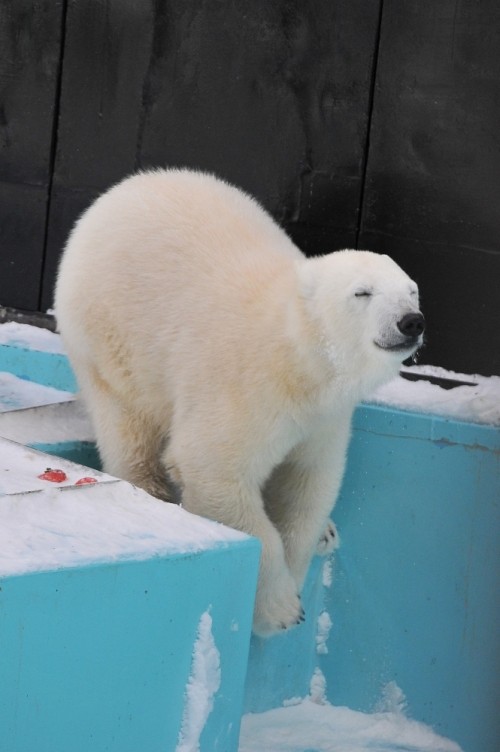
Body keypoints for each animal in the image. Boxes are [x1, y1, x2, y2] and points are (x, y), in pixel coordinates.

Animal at [54, 170, 424, 636]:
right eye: (362, 293)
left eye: (412, 291)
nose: (411, 322)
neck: (299, 358)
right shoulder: (244, 387)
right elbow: (216, 471)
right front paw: (279, 609)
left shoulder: (323, 418)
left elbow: (307, 484)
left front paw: (302, 561)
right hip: (111, 338)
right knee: (128, 423)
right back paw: (152, 491)